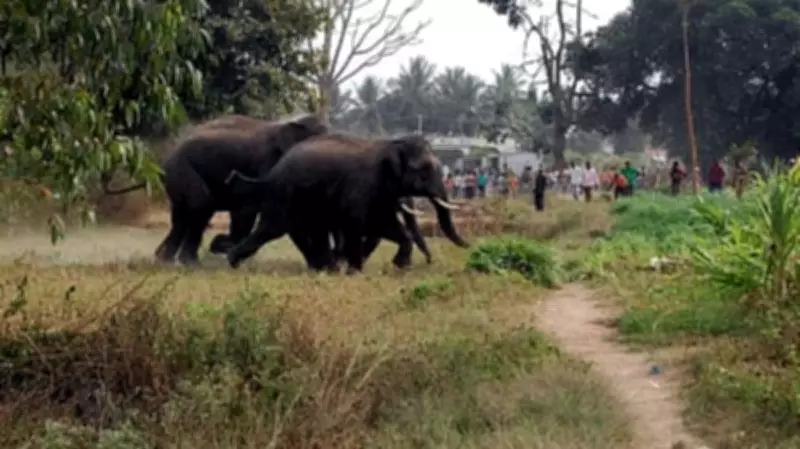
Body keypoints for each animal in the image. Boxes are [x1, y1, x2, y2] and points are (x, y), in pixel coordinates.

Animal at [224, 133, 468, 272]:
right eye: (424, 170)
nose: (430, 262)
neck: (388, 144)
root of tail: (272, 173)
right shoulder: (361, 185)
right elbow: (356, 222)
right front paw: (355, 271)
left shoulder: (381, 193)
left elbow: (384, 224)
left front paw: (400, 266)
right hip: (284, 195)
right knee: (272, 228)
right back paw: (232, 262)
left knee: (311, 229)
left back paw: (327, 269)